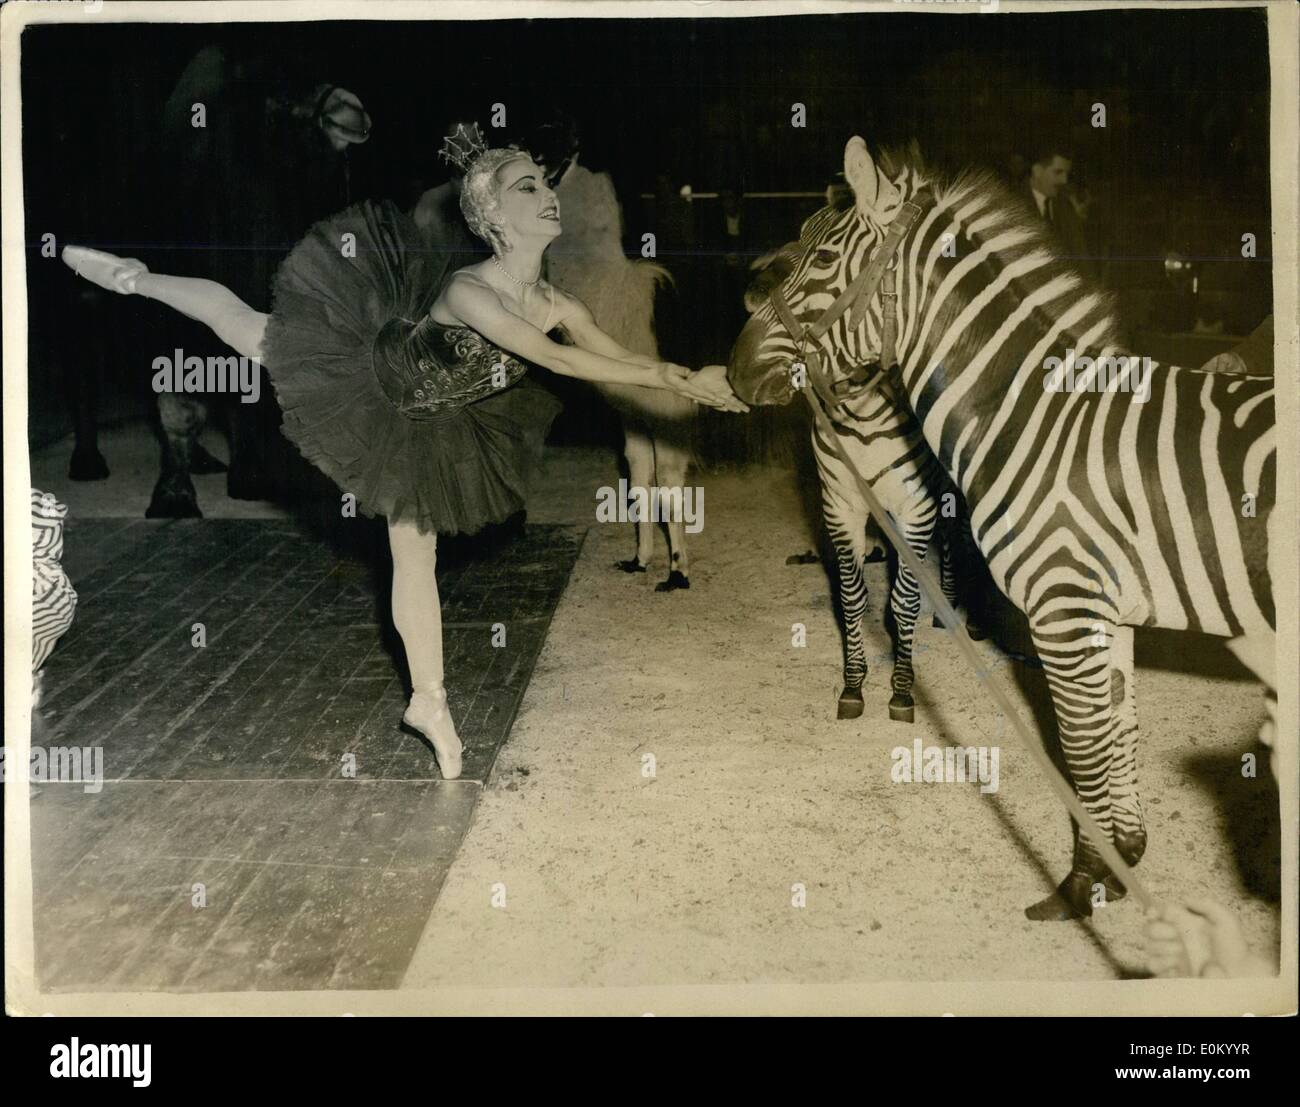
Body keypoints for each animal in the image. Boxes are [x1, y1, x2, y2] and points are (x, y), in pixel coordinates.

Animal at [748, 228, 977, 722]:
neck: (862, 414)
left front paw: (902, 689)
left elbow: (905, 600)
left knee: (954, 536)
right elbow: (852, 598)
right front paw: (853, 684)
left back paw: (952, 607)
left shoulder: (916, 506)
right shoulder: (839, 505)